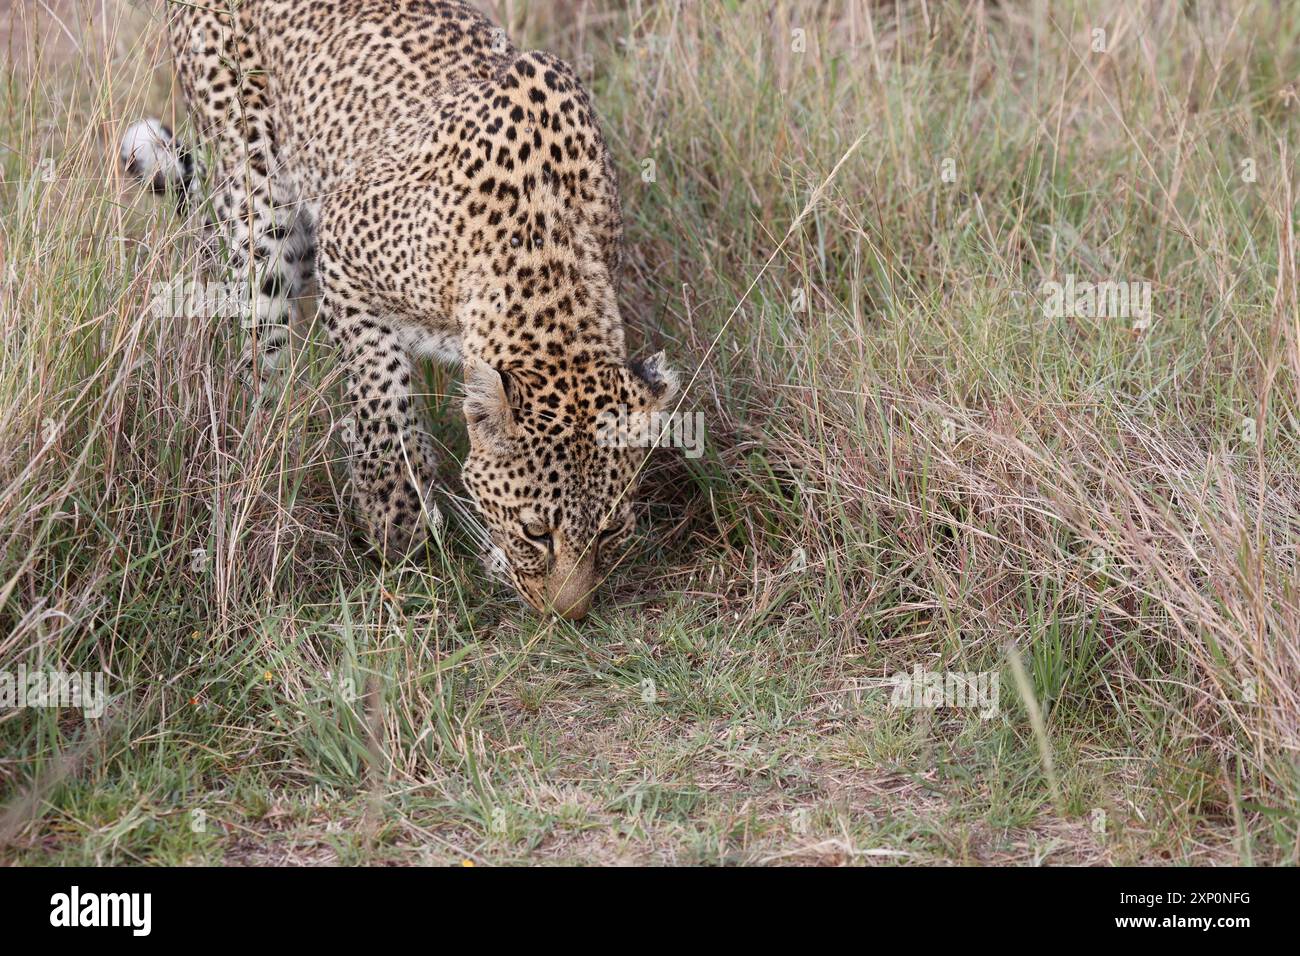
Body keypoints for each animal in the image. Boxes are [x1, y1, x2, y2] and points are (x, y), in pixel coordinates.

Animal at [120, 0, 681, 621]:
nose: (567, 614)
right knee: (259, 352)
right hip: (261, 209)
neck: (542, 247)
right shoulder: (343, 254)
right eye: (536, 532)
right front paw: (400, 529)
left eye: (611, 532)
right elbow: (381, 399)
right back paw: (262, 452)